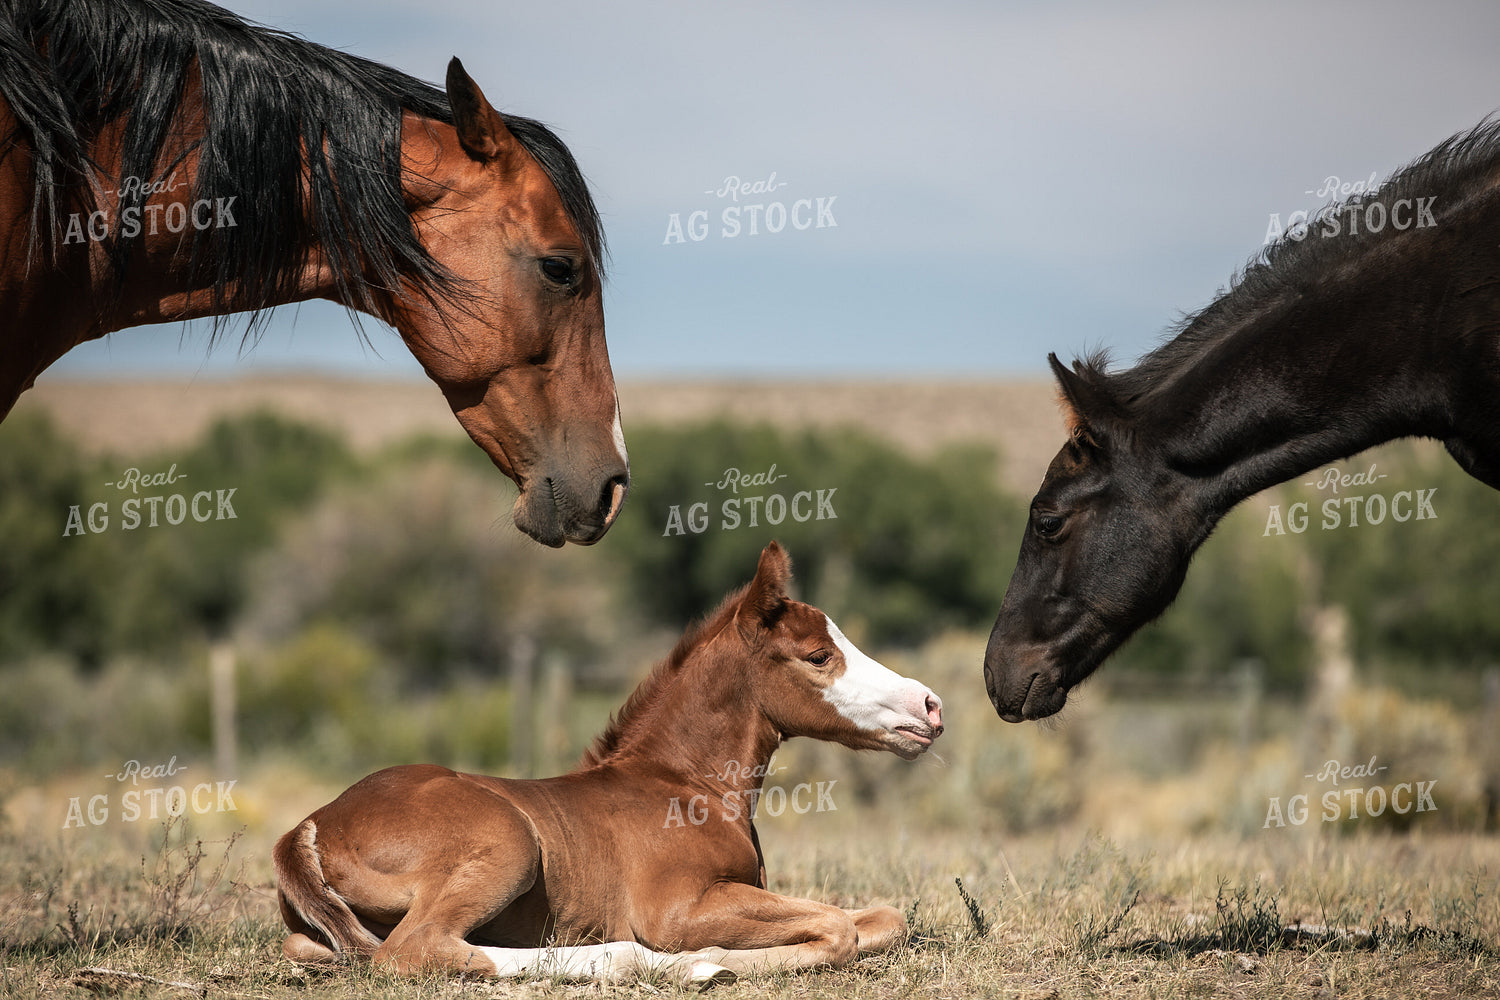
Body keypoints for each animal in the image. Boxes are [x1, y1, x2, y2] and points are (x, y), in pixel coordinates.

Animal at [273, 542, 944, 986]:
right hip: (510, 843)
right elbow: (838, 931)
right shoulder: (678, 908)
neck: (687, 787)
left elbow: (882, 918)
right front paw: (710, 962)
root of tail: (310, 825)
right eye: (819, 655)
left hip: (321, 936)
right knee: (415, 949)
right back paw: (662, 964)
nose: (930, 706)